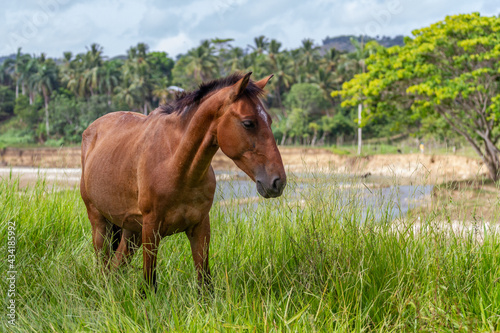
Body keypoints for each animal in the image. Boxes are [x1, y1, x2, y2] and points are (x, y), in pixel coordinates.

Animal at [80, 72, 288, 288]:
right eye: (248, 123)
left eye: (269, 120)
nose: (277, 181)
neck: (176, 165)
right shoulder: (151, 229)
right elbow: (149, 283)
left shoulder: (200, 227)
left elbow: (204, 283)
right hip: (100, 223)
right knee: (103, 266)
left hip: (131, 230)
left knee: (115, 267)